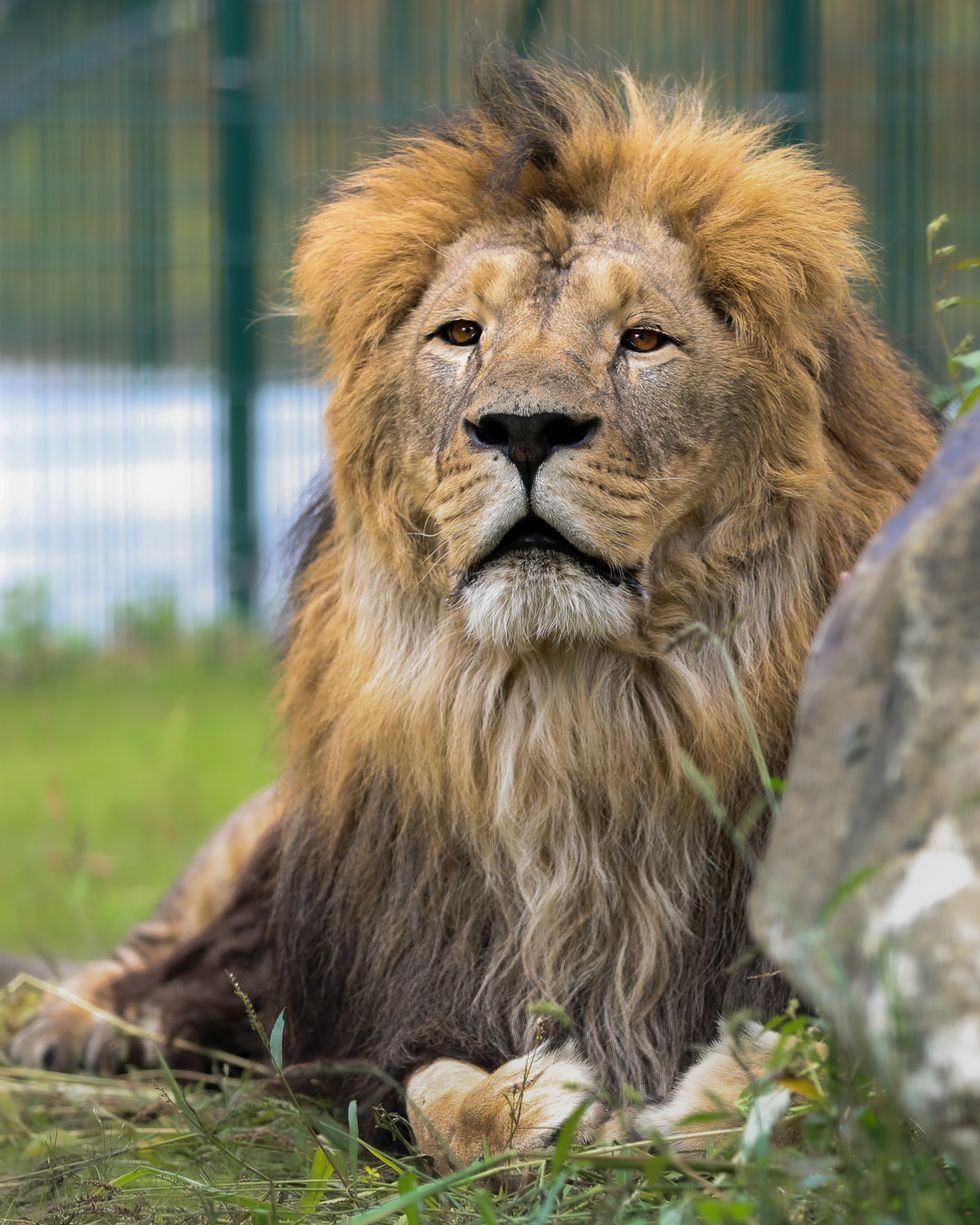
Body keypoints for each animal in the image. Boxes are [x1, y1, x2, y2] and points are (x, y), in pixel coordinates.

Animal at [10, 55, 938, 1167]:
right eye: (462, 335)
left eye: (643, 340)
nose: (524, 427)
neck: (575, 714)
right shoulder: (372, 1018)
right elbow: (435, 1098)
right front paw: (539, 1102)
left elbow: (826, 1066)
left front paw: (722, 1098)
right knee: (150, 949)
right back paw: (71, 1024)